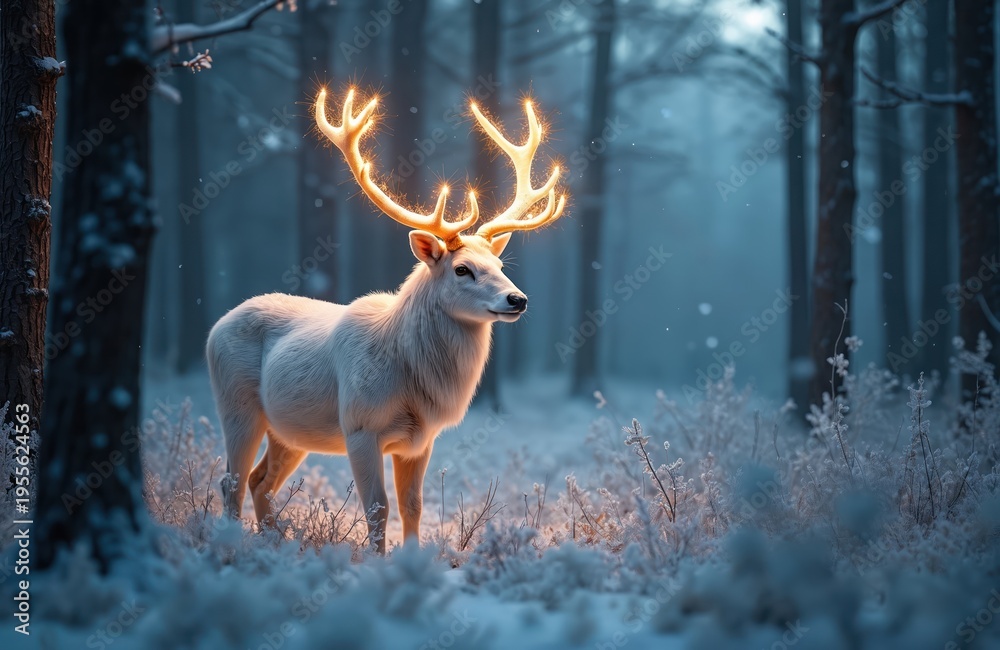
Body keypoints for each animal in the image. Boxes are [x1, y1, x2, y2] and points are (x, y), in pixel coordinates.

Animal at [206, 87, 567, 553]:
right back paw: (231, 545)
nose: (517, 299)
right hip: (237, 405)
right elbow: (378, 511)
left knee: (258, 481)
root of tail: (216, 326)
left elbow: (412, 507)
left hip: (290, 430)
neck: (410, 373)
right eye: (462, 269)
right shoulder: (360, 426)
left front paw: (411, 559)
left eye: (500, 263)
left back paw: (273, 543)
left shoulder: (420, 440)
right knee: (230, 481)